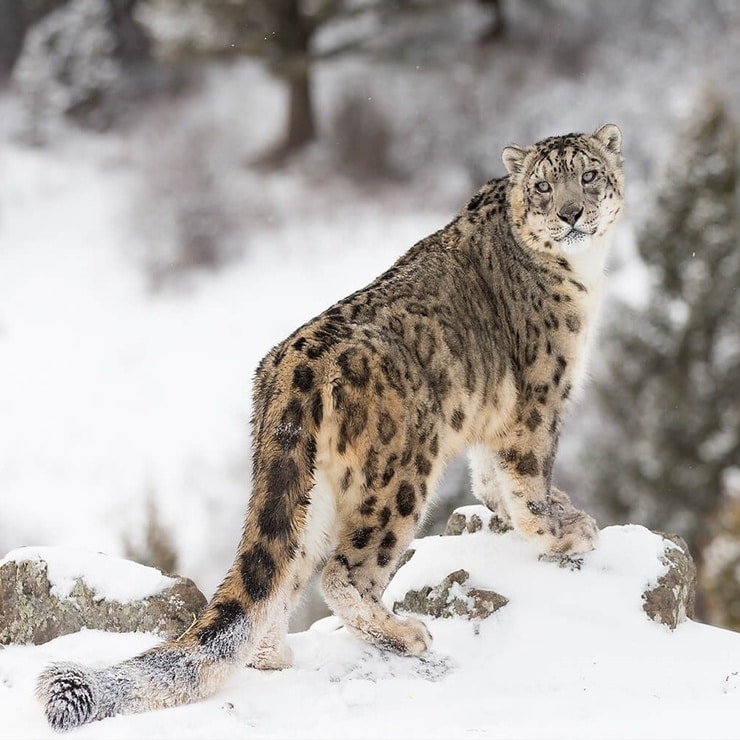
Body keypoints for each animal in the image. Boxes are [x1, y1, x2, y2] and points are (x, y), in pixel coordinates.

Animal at [36, 121, 624, 728]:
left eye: (589, 175)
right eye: (543, 186)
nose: (572, 213)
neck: (583, 273)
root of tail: (289, 370)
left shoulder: (497, 418)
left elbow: (490, 478)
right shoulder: (539, 399)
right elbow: (529, 480)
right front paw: (564, 532)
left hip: (308, 491)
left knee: (283, 573)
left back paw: (273, 653)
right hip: (401, 475)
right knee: (343, 572)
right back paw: (404, 633)